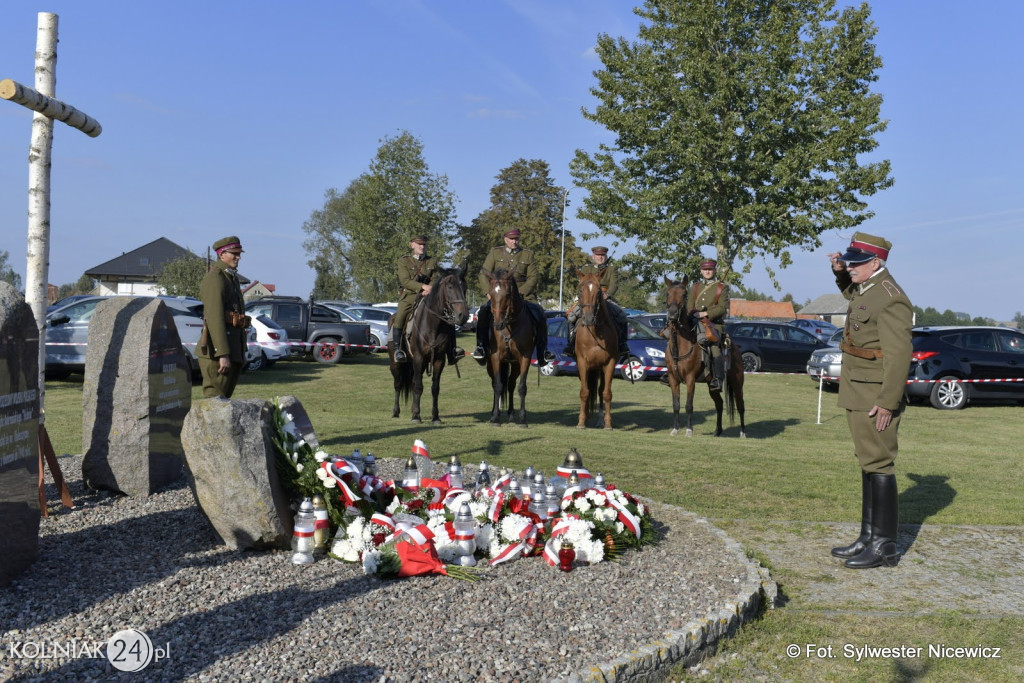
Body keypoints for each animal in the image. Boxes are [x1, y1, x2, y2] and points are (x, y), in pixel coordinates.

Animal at [389, 266, 468, 421]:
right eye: (449, 286)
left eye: (464, 287)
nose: (463, 316)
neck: (432, 324)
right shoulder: (419, 357)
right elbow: (418, 387)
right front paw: (416, 416)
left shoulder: (438, 359)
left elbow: (435, 388)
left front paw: (435, 417)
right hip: (396, 364)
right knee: (398, 383)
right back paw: (396, 411)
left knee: (413, 382)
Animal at [481, 268, 536, 423]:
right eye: (491, 293)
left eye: (507, 294)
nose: (498, 324)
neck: (510, 325)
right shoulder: (495, 357)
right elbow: (498, 385)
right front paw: (495, 417)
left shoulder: (525, 358)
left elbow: (521, 387)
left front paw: (523, 419)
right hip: (491, 364)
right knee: (495, 383)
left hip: (515, 364)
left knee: (511, 384)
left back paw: (511, 413)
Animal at [569, 270, 614, 430]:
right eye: (580, 290)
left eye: (599, 291)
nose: (588, 319)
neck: (594, 333)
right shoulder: (582, 363)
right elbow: (584, 392)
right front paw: (581, 422)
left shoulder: (609, 363)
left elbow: (606, 393)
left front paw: (608, 423)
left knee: (600, 391)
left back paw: (600, 420)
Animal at [659, 276, 749, 438]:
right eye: (667, 293)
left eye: (684, 294)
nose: (673, 314)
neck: (680, 345)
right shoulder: (673, 379)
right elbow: (676, 405)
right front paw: (675, 429)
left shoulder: (690, 380)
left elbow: (688, 405)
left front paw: (689, 430)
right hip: (711, 386)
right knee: (719, 404)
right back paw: (717, 430)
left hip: (737, 383)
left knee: (740, 405)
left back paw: (742, 432)